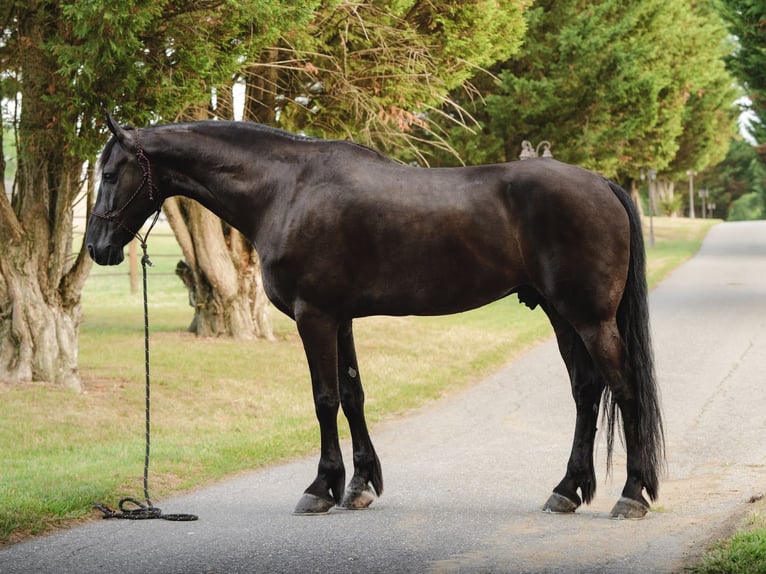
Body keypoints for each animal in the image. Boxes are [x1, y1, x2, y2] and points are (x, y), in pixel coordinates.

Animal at [86, 115, 664, 519]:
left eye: (111, 173)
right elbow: (352, 394)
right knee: (587, 391)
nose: (97, 247)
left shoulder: (314, 317)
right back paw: (566, 491)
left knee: (625, 390)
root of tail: (602, 184)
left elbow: (323, 399)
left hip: (589, 319)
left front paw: (320, 488)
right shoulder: (339, 318)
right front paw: (360, 485)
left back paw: (632, 495)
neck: (286, 188)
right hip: (562, 316)